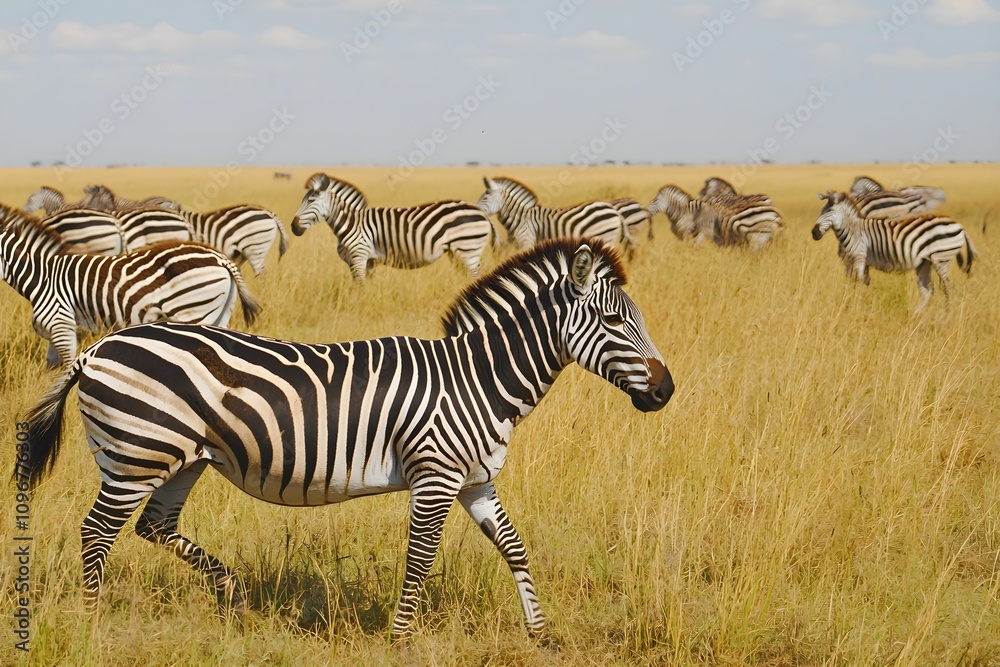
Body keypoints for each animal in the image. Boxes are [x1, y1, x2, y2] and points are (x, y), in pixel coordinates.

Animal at [1, 215, 260, 367]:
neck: (41, 275)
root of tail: (219, 258)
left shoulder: (61, 323)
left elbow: (66, 366)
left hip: (193, 312)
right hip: (219, 313)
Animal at [19, 239, 673, 642]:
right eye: (614, 322)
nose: (666, 391)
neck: (477, 380)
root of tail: (95, 351)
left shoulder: (475, 479)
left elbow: (514, 549)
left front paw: (540, 632)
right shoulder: (435, 475)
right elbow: (420, 558)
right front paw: (400, 636)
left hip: (181, 458)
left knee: (154, 527)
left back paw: (233, 591)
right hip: (135, 454)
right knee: (96, 534)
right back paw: (92, 620)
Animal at [292, 177, 495, 282]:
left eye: (311, 200)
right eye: (302, 200)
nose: (294, 227)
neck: (351, 223)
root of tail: (481, 212)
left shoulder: (359, 257)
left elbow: (359, 287)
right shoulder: (367, 262)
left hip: (468, 249)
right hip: (458, 252)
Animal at [477, 177, 629, 251]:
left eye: (486, 197)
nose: (475, 209)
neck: (520, 218)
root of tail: (613, 210)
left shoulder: (527, 241)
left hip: (606, 238)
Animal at [811, 191, 976, 313]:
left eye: (829, 211)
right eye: (821, 211)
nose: (814, 233)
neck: (854, 230)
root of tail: (960, 226)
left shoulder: (859, 257)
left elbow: (857, 284)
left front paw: (855, 306)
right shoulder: (860, 262)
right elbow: (861, 283)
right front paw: (859, 304)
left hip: (941, 259)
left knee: (947, 288)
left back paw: (948, 314)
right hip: (924, 262)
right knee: (926, 291)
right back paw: (915, 317)